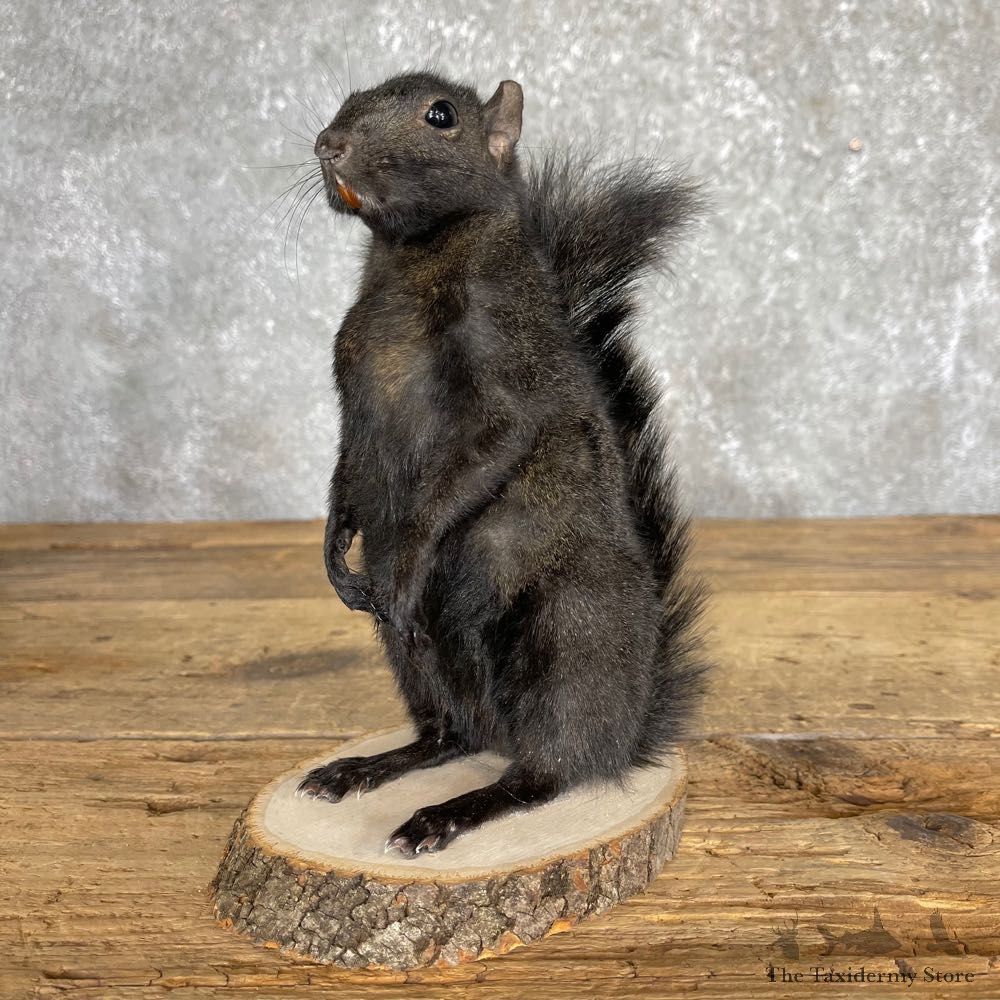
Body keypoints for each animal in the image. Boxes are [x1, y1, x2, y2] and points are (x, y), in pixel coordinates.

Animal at [296, 71, 709, 857]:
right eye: (348, 99)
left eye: (441, 116)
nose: (328, 143)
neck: (413, 256)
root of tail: (626, 732)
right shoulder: (351, 393)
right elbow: (346, 470)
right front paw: (335, 555)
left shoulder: (506, 366)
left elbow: (486, 454)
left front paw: (405, 561)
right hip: (413, 655)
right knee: (449, 736)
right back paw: (368, 768)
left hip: (565, 641)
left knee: (546, 773)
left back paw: (450, 813)